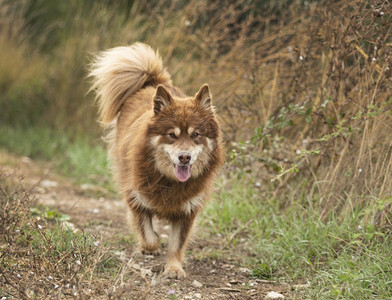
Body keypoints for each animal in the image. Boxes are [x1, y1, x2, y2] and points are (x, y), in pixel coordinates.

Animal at [89, 42, 224, 278]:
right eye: (172, 134)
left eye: (196, 135)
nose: (184, 157)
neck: (169, 181)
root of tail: (152, 83)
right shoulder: (136, 196)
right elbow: (149, 235)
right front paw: (150, 247)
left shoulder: (187, 210)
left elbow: (176, 244)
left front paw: (174, 268)